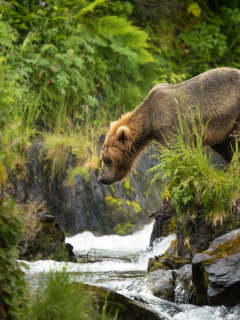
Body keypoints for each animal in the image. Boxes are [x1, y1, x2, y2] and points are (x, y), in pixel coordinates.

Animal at [98, 67, 240, 185]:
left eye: (107, 159)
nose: (101, 179)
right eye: (102, 157)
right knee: (225, 147)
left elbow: (179, 151)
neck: (150, 120)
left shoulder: (170, 123)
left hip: (235, 114)